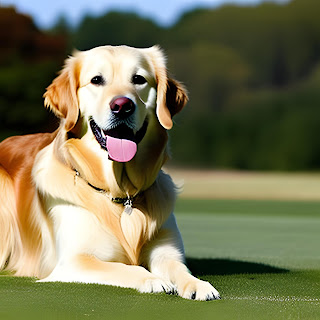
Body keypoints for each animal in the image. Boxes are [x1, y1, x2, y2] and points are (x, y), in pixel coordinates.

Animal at [0, 44, 220, 300]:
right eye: (96, 80)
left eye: (138, 79)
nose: (122, 106)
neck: (123, 194)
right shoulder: (75, 260)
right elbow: (127, 268)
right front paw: (153, 279)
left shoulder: (167, 251)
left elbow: (179, 268)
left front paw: (197, 284)